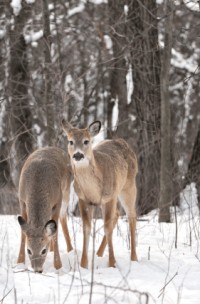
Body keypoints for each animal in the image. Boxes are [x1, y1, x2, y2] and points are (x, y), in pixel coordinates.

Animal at [61, 120, 138, 268]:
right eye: (70, 141)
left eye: (86, 141)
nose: (77, 155)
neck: (93, 190)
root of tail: (122, 142)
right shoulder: (83, 199)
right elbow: (86, 228)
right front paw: (83, 264)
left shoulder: (110, 197)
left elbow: (107, 228)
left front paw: (112, 263)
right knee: (117, 213)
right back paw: (99, 253)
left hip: (128, 187)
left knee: (131, 216)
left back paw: (134, 258)